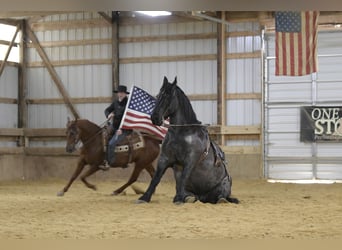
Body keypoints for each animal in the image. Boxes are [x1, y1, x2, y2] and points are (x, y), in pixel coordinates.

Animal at [138, 76, 239, 205]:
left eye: (169, 97)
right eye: (158, 95)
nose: (155, 117)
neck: (181, 133)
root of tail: (202, 197)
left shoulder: (190, 160)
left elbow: (183, 177)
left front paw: (179, 199)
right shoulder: (164, 158)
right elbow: (156, 178)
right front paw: (144, 197)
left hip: (224, 185)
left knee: (220, 197)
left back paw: (221, 199)